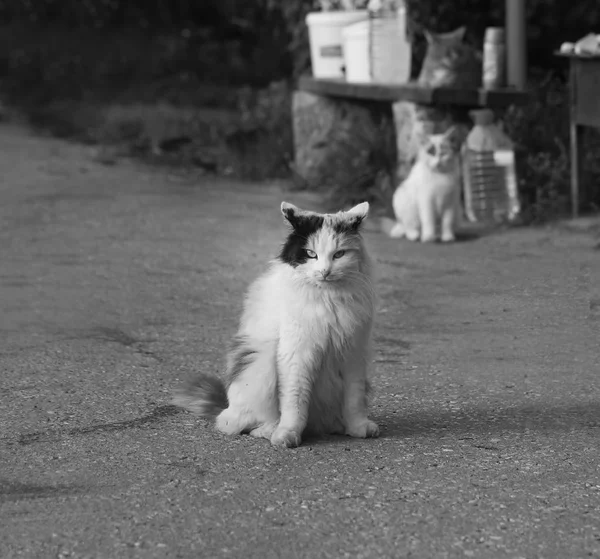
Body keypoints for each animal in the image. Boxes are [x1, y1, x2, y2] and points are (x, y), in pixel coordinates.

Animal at [173, 201, 380, 450]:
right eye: (311, 254)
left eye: (339, 254)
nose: (325, 272)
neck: (328, 298)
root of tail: (225, 404)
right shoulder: (296, 355)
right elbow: (294, 403)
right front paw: (287, 434)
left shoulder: (353, 354)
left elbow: (354, 400)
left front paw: (358, 427)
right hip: (259, 363)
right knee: (236, 423)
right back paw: (269, 430)